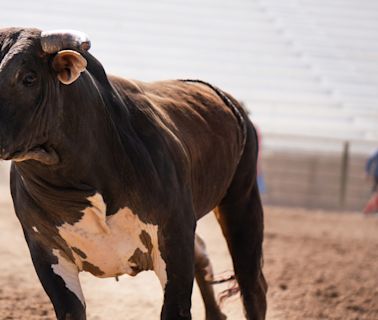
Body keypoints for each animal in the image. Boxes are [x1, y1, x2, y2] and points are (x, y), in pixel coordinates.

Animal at [0, 28, 268, 320]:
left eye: (28, 78)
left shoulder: (175, 237)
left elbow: (176, 309)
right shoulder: (45, 250)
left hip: (242, 200)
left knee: (252, 285)